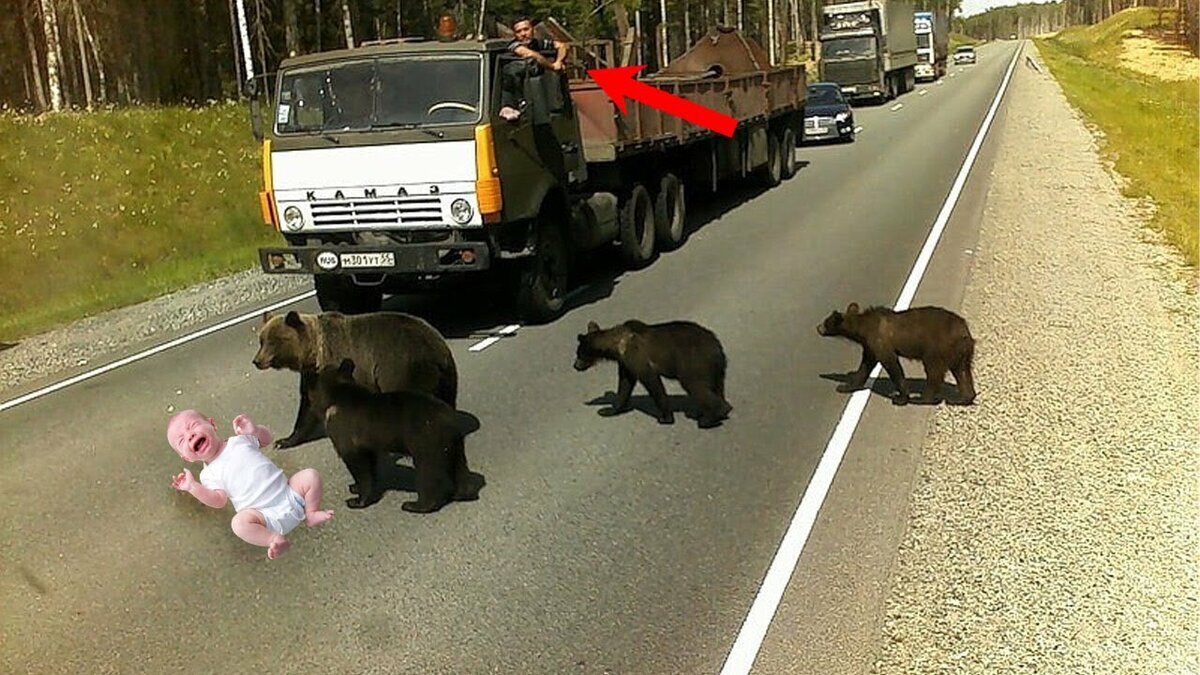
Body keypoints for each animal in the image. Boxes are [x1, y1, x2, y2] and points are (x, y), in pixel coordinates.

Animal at [250, 309, 456, 446]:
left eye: (273, 341)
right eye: (261, 340)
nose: (257, 360)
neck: (315, 353)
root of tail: (439, 348)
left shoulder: (350, 368)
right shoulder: (311, 375)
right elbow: (307, 407)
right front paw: (284, 440)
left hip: (403, 367)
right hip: (446, 376)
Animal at [304, 357, 482, 509]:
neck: (334, 396)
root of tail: (450, 419)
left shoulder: (344, 429)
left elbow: (357, 462)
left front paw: (357, 500)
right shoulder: (366, 440)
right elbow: (370, 460)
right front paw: (355, 487)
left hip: (426, 439)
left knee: (428, 470)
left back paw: (416, 505)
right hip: (453, 444)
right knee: (458, 466)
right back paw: (462, 493)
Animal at [573, 317, 729, 425]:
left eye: (578, 353)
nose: (575, 366)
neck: (616, 345)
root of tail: (717, 347)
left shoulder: (636, 355)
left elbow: (652, 382)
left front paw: (665, 417)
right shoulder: (625, 363)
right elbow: (625, 385)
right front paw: (609, 410)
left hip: (693, 362)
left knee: (695, 386)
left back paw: (710, 417)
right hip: (715, 370)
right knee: (716, 387)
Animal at [816, 300, 974, 403]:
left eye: (826, 321)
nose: (818, 327)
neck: (863, 329)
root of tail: (964, 330)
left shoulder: (880, 341)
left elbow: (891, 364)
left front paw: (901, 396)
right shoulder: (870, 346)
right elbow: (865, 366)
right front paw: (846, 386)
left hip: (937, 347)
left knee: (934, 369)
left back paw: (922, 398)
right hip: (960, 351)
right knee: (962, 371)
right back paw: (963, 397)